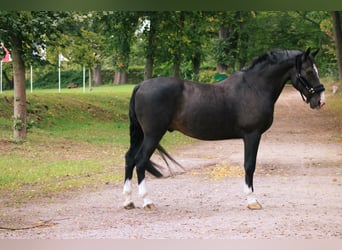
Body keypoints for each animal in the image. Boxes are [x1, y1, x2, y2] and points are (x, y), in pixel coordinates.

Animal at [123, 47, 326, 210]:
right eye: (309, 71)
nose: (320, 101)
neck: (254, 87)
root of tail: (140, 85)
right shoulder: (252, 135)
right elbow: (249, 165)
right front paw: (252, 201)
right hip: (153, 135)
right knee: (140, 160)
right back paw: (147, 201)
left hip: (142, 135)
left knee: (130, 158)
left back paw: (128, 201)